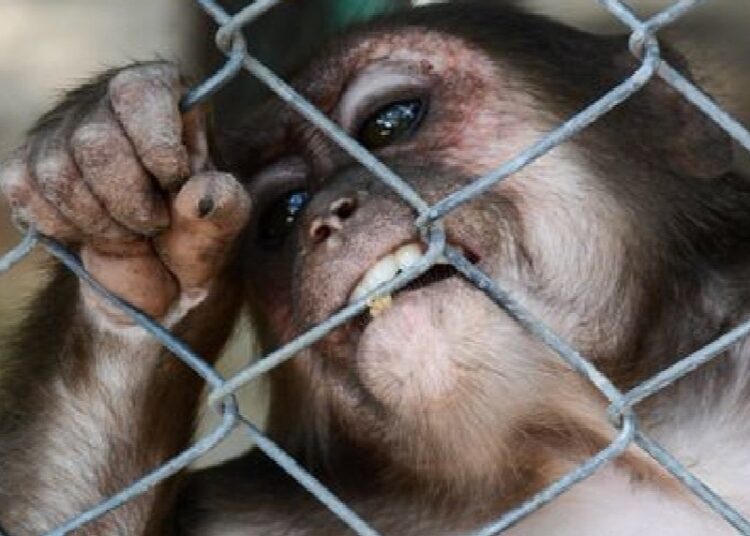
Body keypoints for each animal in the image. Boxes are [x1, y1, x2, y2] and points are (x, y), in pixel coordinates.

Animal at [1, 1, 750, 534]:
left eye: (391, 122)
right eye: (283, 216)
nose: (328, 216)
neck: (571, 447)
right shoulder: (259, 515)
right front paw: (127, 241)